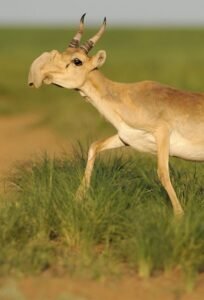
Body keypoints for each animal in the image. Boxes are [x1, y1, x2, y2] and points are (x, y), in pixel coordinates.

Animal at [28, 14, 204, 216]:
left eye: (77, 60)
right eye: (63, 53)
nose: (40, 73)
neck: (126, 96)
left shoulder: (162, 133)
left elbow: (162, 173)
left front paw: (179, 215)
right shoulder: (125, 138)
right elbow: (94, 146)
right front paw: (78, 198)